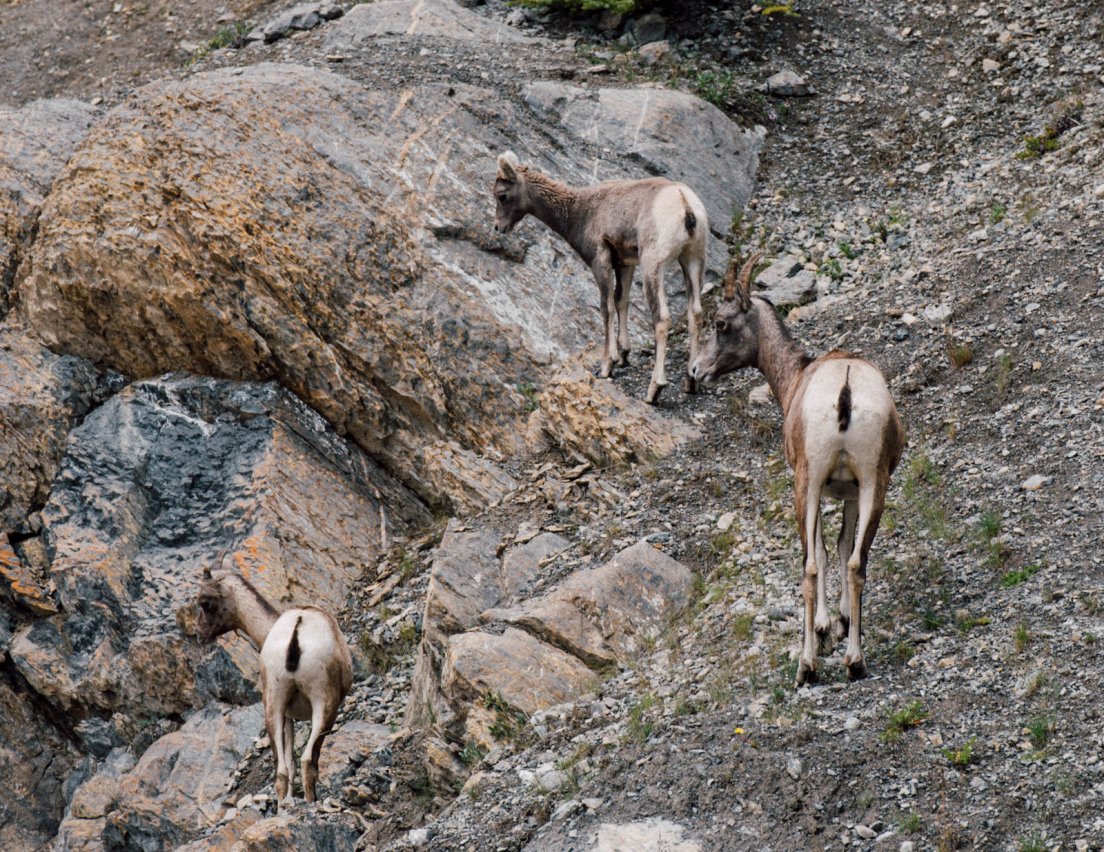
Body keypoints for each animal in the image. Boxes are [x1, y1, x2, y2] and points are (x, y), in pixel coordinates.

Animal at [196, 558, 351, 803]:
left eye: (205, 602)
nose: (199, 633)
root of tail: (297, 631)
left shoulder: (286, 714)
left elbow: (288, 764)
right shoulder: (291, 716)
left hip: (273, 704)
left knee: (281, 772)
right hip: (324, 704)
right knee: (308, 761)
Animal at [492, 151, 706, 403]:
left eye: (502, 195)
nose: (498, 227)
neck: (579, 211)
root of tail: (685, 206)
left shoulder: (600, 261)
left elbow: (607, 309)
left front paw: (607, 366)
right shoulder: (624, 265)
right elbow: (621, 302)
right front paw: (623, 356)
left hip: (654, 266)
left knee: (662, 319)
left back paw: (654, 389)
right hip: (693, 261)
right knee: (696, 314)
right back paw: (691, 380)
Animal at [688, 252, 905, 684]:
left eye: (721, 323)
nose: (696, 371)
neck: (796, 378)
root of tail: (846, 389)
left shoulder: (815, 486)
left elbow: (820, 550)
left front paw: (822, 628)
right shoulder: (850, 491)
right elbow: (842, 546)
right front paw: (840, 621)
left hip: (807, 483)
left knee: (808, 567)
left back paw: (807, 666)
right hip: (875, 484)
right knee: (857, 563)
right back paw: (855, 661)